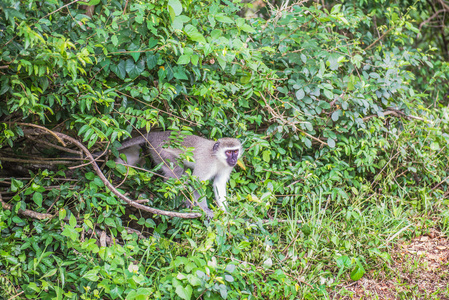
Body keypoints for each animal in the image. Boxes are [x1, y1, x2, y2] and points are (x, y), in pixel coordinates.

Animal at [114, 131, 242, 218]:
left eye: (235, 151)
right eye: (228, 152)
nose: (234, 159)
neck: (217, 159)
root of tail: (155, 134)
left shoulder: (227, 167)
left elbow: (218, 184)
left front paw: (225, 212)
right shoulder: (206, 163)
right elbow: (197, 182)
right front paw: (205, 209)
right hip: (161, 152)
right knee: (176, 171)